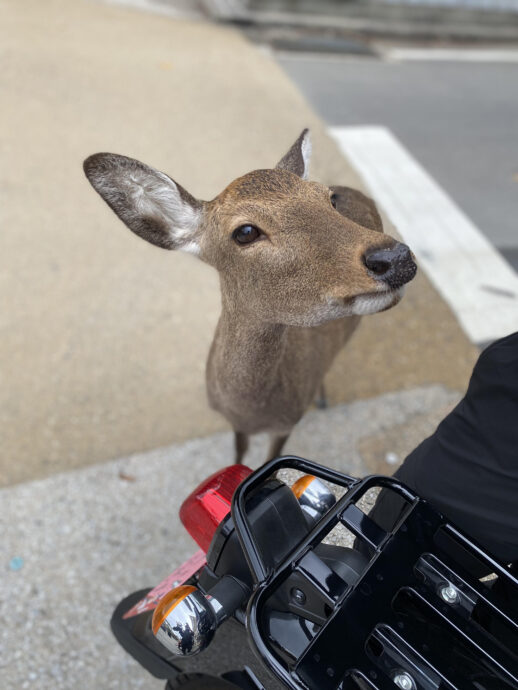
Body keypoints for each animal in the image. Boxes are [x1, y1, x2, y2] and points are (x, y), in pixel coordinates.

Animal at [85, 129, 418, 462]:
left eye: (330, 198)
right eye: (245, 232)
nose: (396, 258)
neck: (253, 411)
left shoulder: (286, 424)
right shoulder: (237, 424)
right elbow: (239, 454)